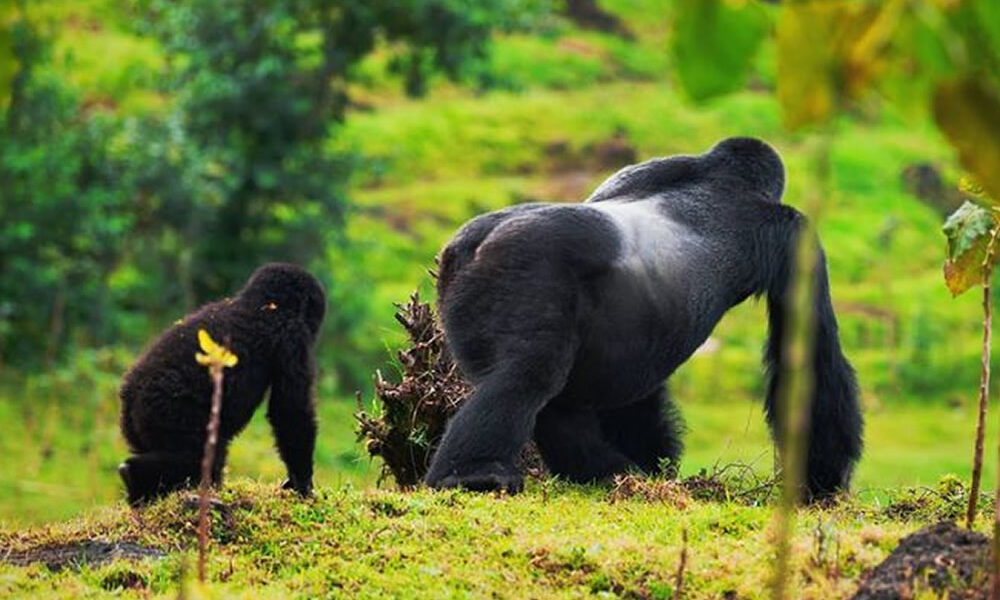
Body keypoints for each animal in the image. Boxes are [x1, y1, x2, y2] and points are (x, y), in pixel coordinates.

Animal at [118, 262, 324, 506]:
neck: (264, 305)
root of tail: (129, 399)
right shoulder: (293, 337)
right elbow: (291, 411)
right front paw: (303, 483)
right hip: (170, 413)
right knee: (197, 455)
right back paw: (135, 475)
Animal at [426, 138, 864, 500]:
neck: (720, 176)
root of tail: (469, 246)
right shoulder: (794, 234)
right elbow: (811, 358)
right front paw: (822, 483)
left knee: (553, 397)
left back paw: (601, 472)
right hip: (524, 269)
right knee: (527, 376)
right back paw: (476, 474)